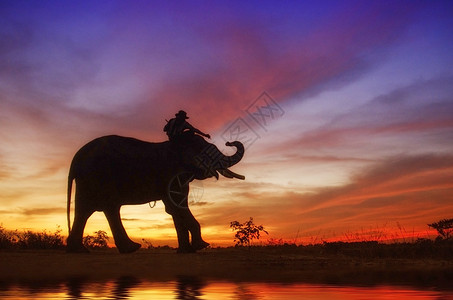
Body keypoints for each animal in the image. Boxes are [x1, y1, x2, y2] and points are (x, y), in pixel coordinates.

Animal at [66, 132, 244, 253]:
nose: (229, 142)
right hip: (97, 176)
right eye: (209, 153)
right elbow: (176, 206)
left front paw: (186, 251)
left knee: (88, 210)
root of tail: (75, 158)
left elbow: (174, 208)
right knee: (103, 208)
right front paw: (200, 246)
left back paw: (80, 250)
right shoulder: (171, 174)